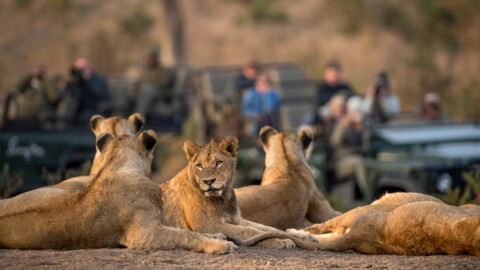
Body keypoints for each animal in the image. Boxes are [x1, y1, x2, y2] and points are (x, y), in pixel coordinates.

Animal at [0, 130, 236, 253]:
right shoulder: (142, 235)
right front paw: (220, 244)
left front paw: (217, 235)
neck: (116, 165)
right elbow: (185, 235)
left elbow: (187, 230)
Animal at [158, 136, 322, 250]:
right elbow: (249, 231)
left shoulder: (236, 218)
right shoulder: (207, 224)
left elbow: (269, 229)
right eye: (199, 165)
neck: (222, 198)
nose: (209, 181)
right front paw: (281, 241)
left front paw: (304, 236)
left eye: (219, 163)